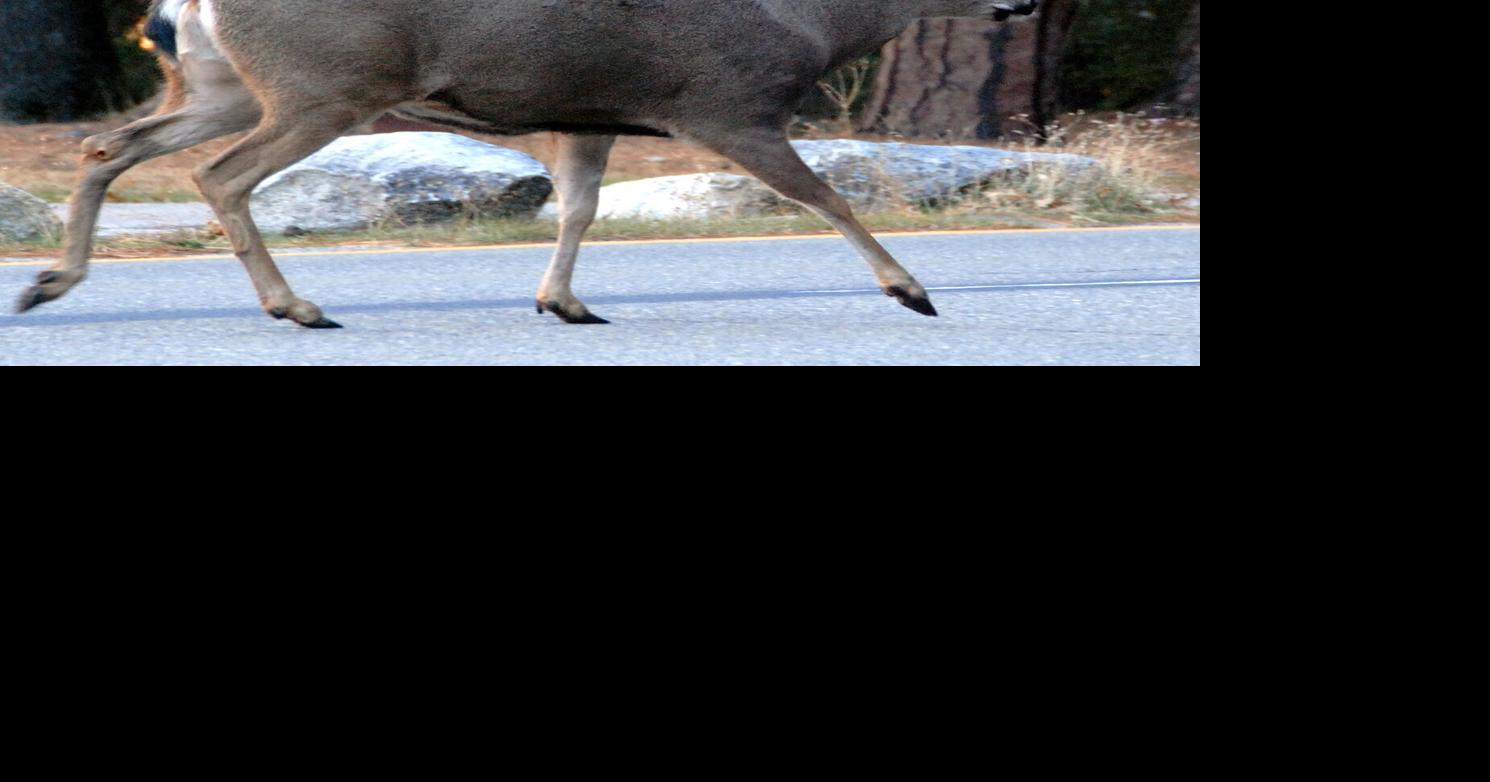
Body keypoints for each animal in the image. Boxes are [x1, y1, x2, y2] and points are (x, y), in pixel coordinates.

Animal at [16, 0, 1040, 328]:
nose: (1026, 0)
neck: (816, 22)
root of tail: (186, 3)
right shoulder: (726, 104)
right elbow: (825, 196)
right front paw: (911, 290)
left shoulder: (587, 113)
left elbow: (579, 208)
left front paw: (563, 303)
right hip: (327, 87)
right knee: (219, 176)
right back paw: (297, 308)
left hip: (231, 83)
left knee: (110, 146)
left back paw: (48, 282)